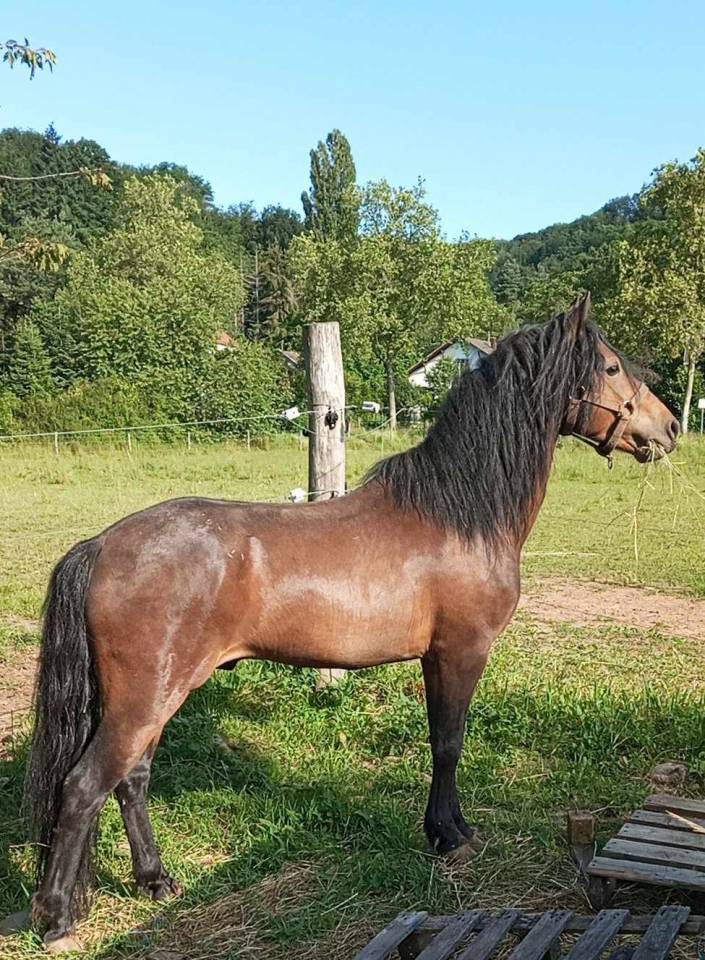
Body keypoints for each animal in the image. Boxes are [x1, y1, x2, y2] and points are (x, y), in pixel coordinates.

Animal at [22, 294, 678, 952]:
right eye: (612, 366)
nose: (670, 427)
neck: (458, 516)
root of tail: (102, 544)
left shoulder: (436, 657)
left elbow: (441, 741)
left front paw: (444, 829)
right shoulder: (460, 651)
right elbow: (450, 742)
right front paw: (451, 836)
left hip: (157, 697)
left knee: (131, 781)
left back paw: (156, 882)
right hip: (145, 698)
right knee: (84, 787)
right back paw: (56, 920)